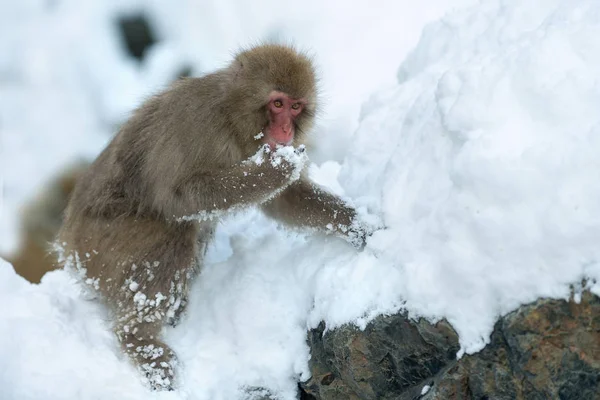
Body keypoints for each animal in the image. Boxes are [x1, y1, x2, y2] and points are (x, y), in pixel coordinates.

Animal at [58, 44, 370, 390]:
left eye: (296, 107)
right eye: (277, 104)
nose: (287, 129)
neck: (232, 118)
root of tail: (67, 245)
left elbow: (284, 201)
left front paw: (356, 227)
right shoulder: (197, 123)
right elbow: (177, 196)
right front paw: (269, 172)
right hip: (98, 246)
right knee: (173, 234)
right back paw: (140, 341)